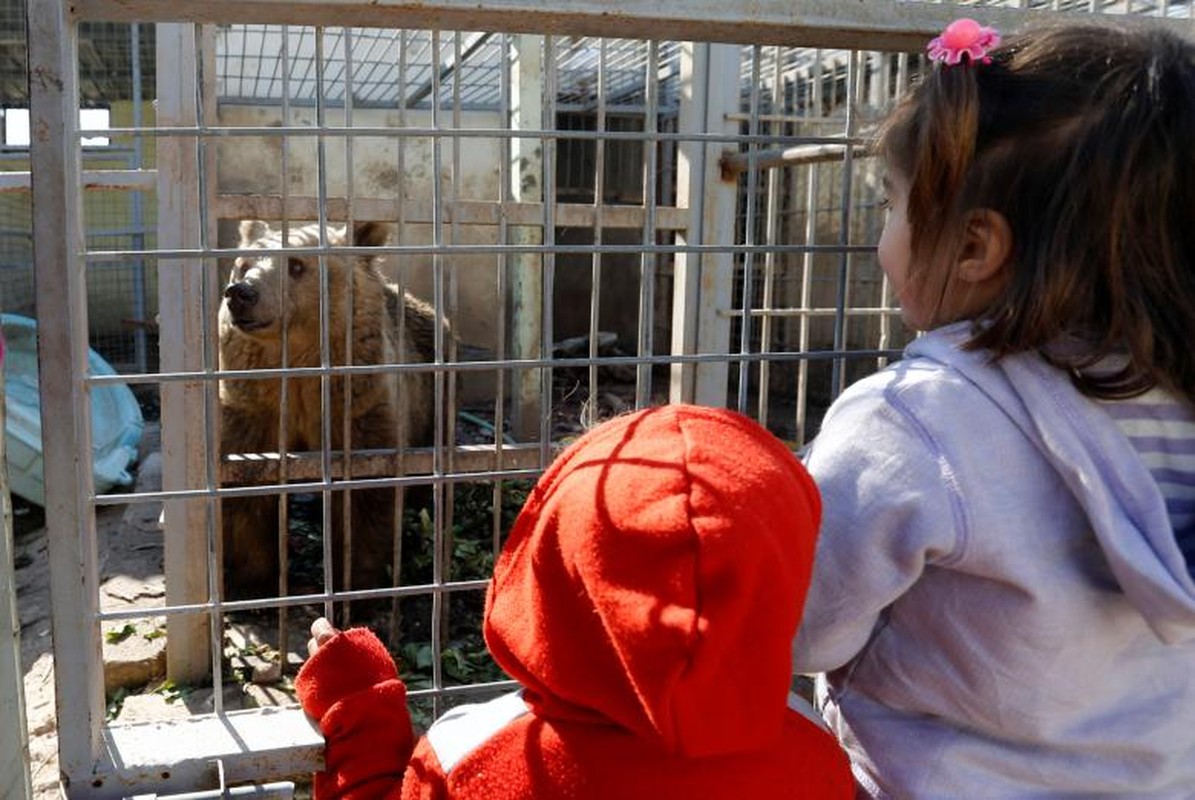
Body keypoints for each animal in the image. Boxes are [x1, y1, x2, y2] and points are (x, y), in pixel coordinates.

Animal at [219, 218, 451, 597]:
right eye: (243, 264)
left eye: (297, 265)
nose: (241, 293)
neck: (301, 367)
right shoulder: (253, 407)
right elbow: (247, 488)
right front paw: (255, 582)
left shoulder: (359, 407)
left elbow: (364, 495)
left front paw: (355, 583)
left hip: (436, 394)